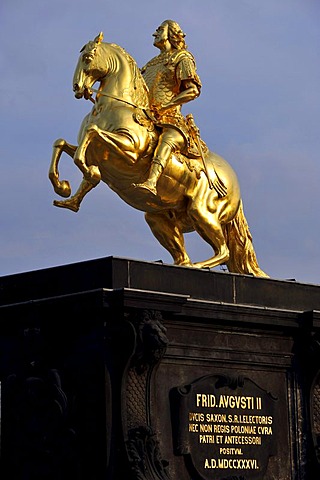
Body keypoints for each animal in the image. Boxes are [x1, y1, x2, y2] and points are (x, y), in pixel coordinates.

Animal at [47, 31, 268, 276]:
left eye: (87, 58)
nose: (77, 88)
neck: (113, 107)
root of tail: (234, 182)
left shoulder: (131, 150)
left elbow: (91, 134)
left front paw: (87, 172)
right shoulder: (97, 152)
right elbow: (62, 144)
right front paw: (64, 189)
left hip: (202, 211)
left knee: (223, 252)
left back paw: (198, 266)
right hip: (158, 217)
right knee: (184, 255)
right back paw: (182, 265)